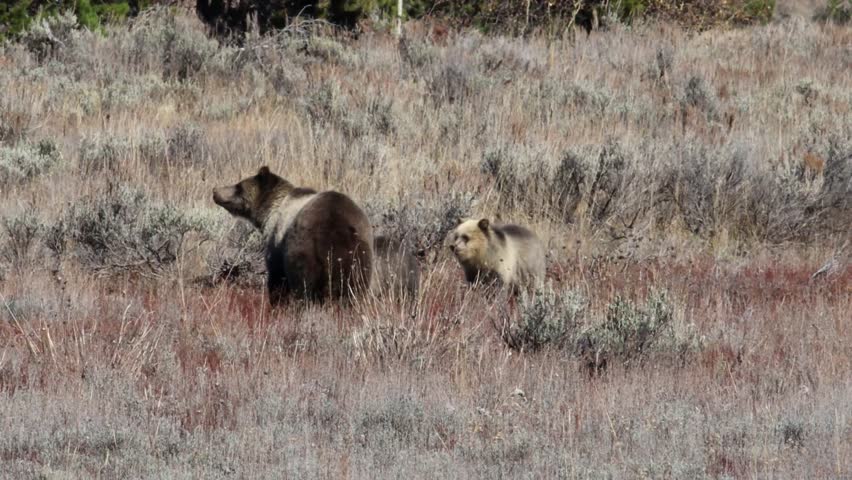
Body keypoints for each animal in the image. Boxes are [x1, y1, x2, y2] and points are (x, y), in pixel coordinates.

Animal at [213, 166, 373, 305]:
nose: (215, 191)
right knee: (355, 288)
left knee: (303, 286)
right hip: (358, 255)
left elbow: (277, 278)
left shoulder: (276, 241)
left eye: (238, 186)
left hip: (303, 250)